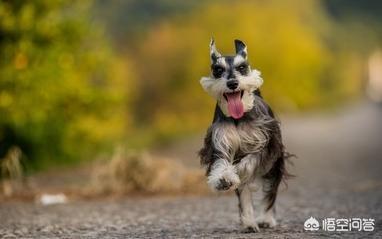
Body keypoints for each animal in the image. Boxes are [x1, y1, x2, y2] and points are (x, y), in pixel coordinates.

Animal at [200, 38, 290, 232]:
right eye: (218, 69)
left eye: (242, 67)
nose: (233, 83)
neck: (238, 118)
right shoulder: (220, 143)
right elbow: (222, 164)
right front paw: (224, 179)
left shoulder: (266, 145)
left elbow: (249, 162)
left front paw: (237, 171)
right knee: (245, 193)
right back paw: (249, 222)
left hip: (275, 165)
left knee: (270, 192)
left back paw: (266, 219)